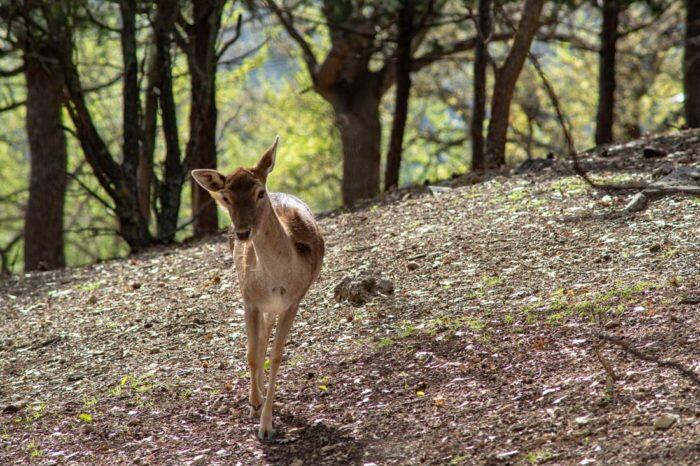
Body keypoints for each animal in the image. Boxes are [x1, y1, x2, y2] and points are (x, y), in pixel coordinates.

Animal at [191, 136, 324, 440]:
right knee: (261, 337)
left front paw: (266, 426)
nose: (242, 233)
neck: (276, 282)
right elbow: (252, 353)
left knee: (267, 335)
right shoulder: (248, 298)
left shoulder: (293, 301)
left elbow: (276, 356)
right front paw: (253, 404)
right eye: (226, 197)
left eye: (260, 192)